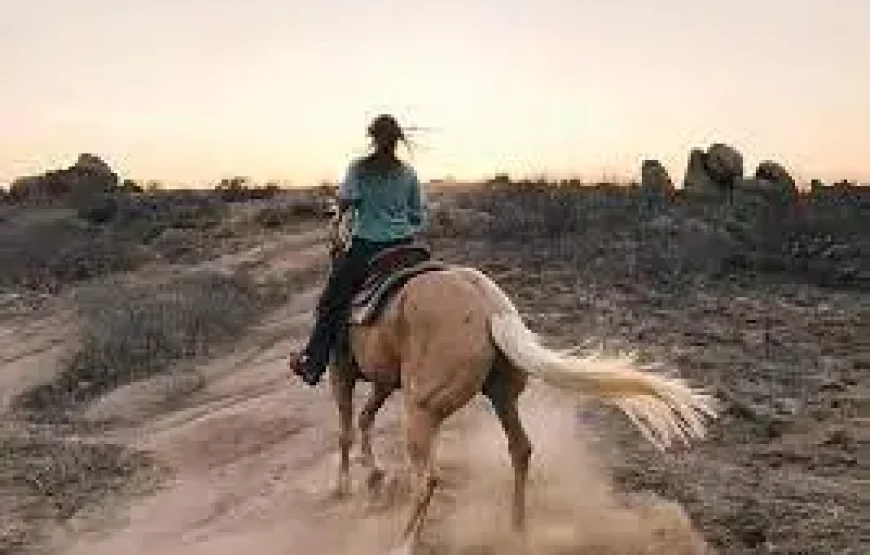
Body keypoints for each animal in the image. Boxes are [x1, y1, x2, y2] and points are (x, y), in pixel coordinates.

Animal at [324, 208, 720, 552]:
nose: (333, 244)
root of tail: (488, 303)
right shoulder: (383, 380)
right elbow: (365, 418)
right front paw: (373, 477)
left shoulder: (340, 372)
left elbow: (345, 428)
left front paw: (344, 486)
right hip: (502, 395)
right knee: (521, 449)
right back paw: (517, 528)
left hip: (423, 408)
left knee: (428, 479)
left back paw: (404, 544)